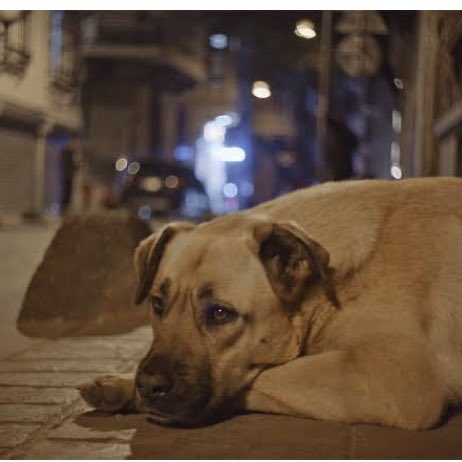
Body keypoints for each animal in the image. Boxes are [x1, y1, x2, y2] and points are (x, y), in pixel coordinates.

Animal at [77, 177, 462, 430]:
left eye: (220, 313)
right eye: (157, 304)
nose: (149, 386)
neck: (327, 285)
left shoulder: (395, 374)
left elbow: (265, 376)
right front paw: (123, 384)